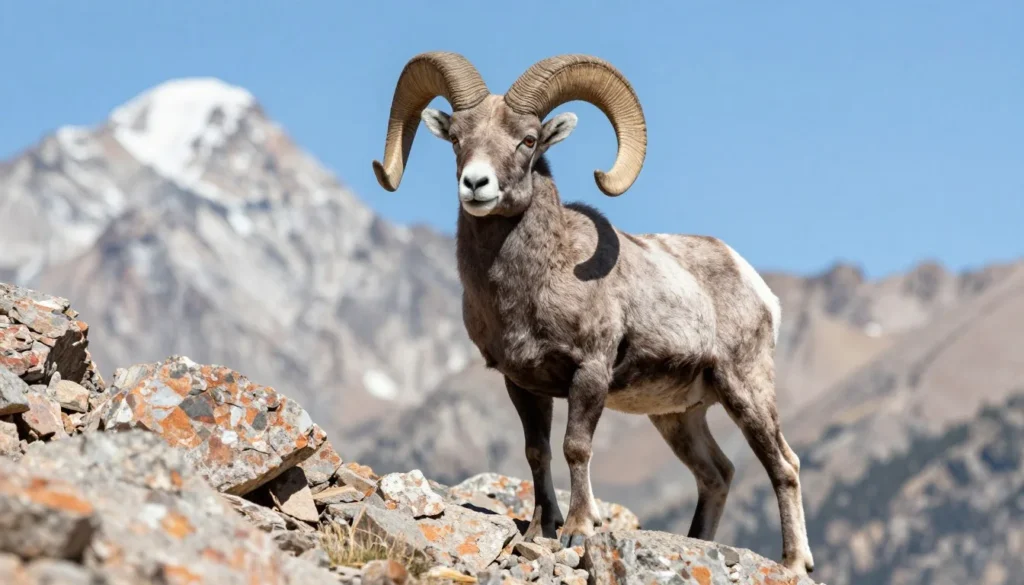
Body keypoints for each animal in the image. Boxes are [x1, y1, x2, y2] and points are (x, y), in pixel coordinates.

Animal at [370, 51, 815, 576]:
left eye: (528, 139)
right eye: (457, 138)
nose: (476, 184)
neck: (533, 285)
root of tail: (758, 287)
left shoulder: (590, 373)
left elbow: (575, 447)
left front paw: (578, 529)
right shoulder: (522, 384)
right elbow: (537, 451)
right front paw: (541, 527)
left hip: (745, 388)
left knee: (783, 465)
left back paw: (794, 563)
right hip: (677, 417)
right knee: (717, 474)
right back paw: (697, 540)